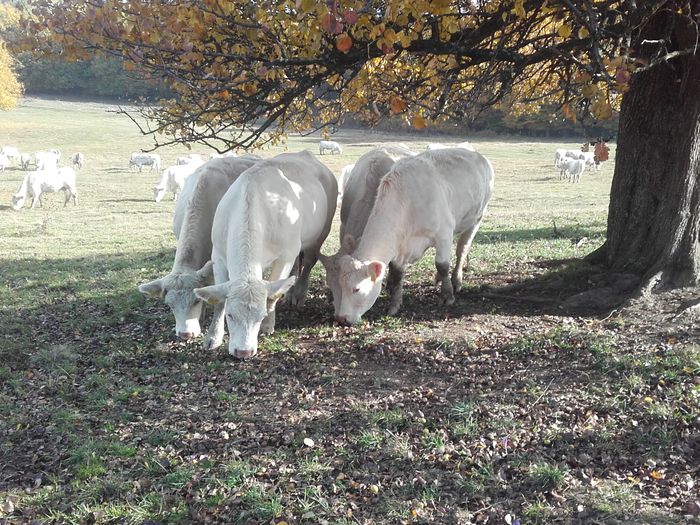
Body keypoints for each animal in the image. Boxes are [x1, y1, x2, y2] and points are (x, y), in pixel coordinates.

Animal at [194, 150, 340, 356]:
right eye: (230, 315)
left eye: (261, 315)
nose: (244, 352)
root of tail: (307, 154)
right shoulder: (218, 256)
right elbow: (219, 301)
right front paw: (213, 337)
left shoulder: (285, 256)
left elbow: (272, 295)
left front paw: (268, 325)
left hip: (320, 233)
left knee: (308, 263)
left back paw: (298, 295)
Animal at [332, 147, 492, 324]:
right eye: (338, 285)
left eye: (356, 289)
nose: (341, 318)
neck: (407, 202)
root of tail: (476, 154)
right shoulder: (400, 246)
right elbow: (397, 274)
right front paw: (394, 305)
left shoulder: (444, 233)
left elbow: (442, 265)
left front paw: (447, 295)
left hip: (476, 218)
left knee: (462, 250)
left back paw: (456, 280)